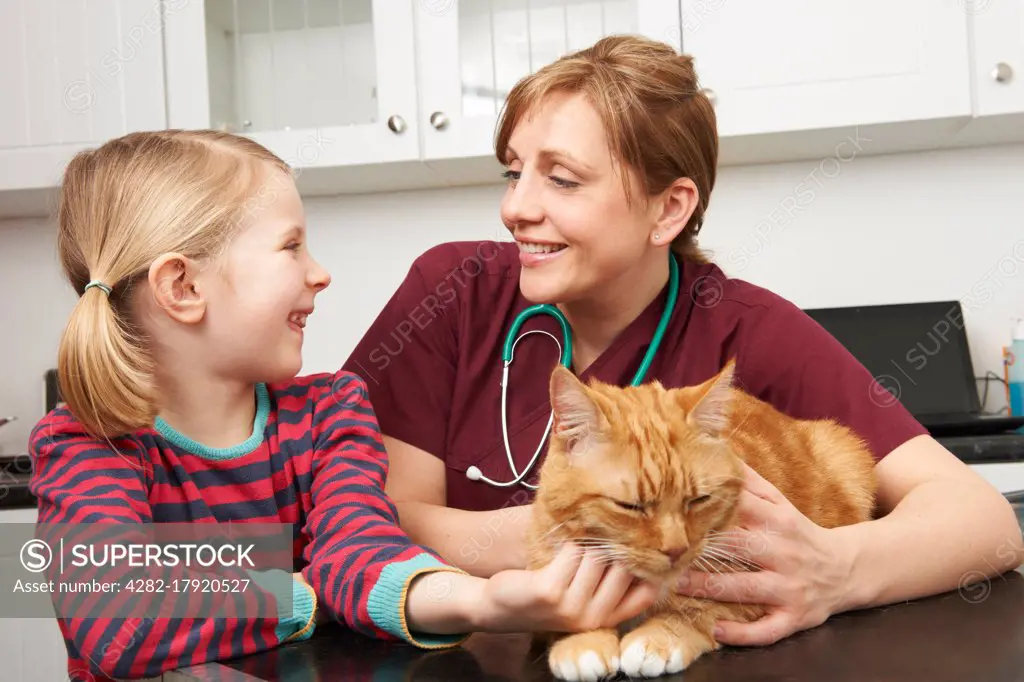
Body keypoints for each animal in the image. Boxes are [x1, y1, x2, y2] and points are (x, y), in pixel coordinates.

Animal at [528, 358, 872, 675]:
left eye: (698, 500)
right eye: (630, 506)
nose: (676, 549)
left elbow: (701, 607)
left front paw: (658, 637)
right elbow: (570, 613)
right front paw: (583, 642)